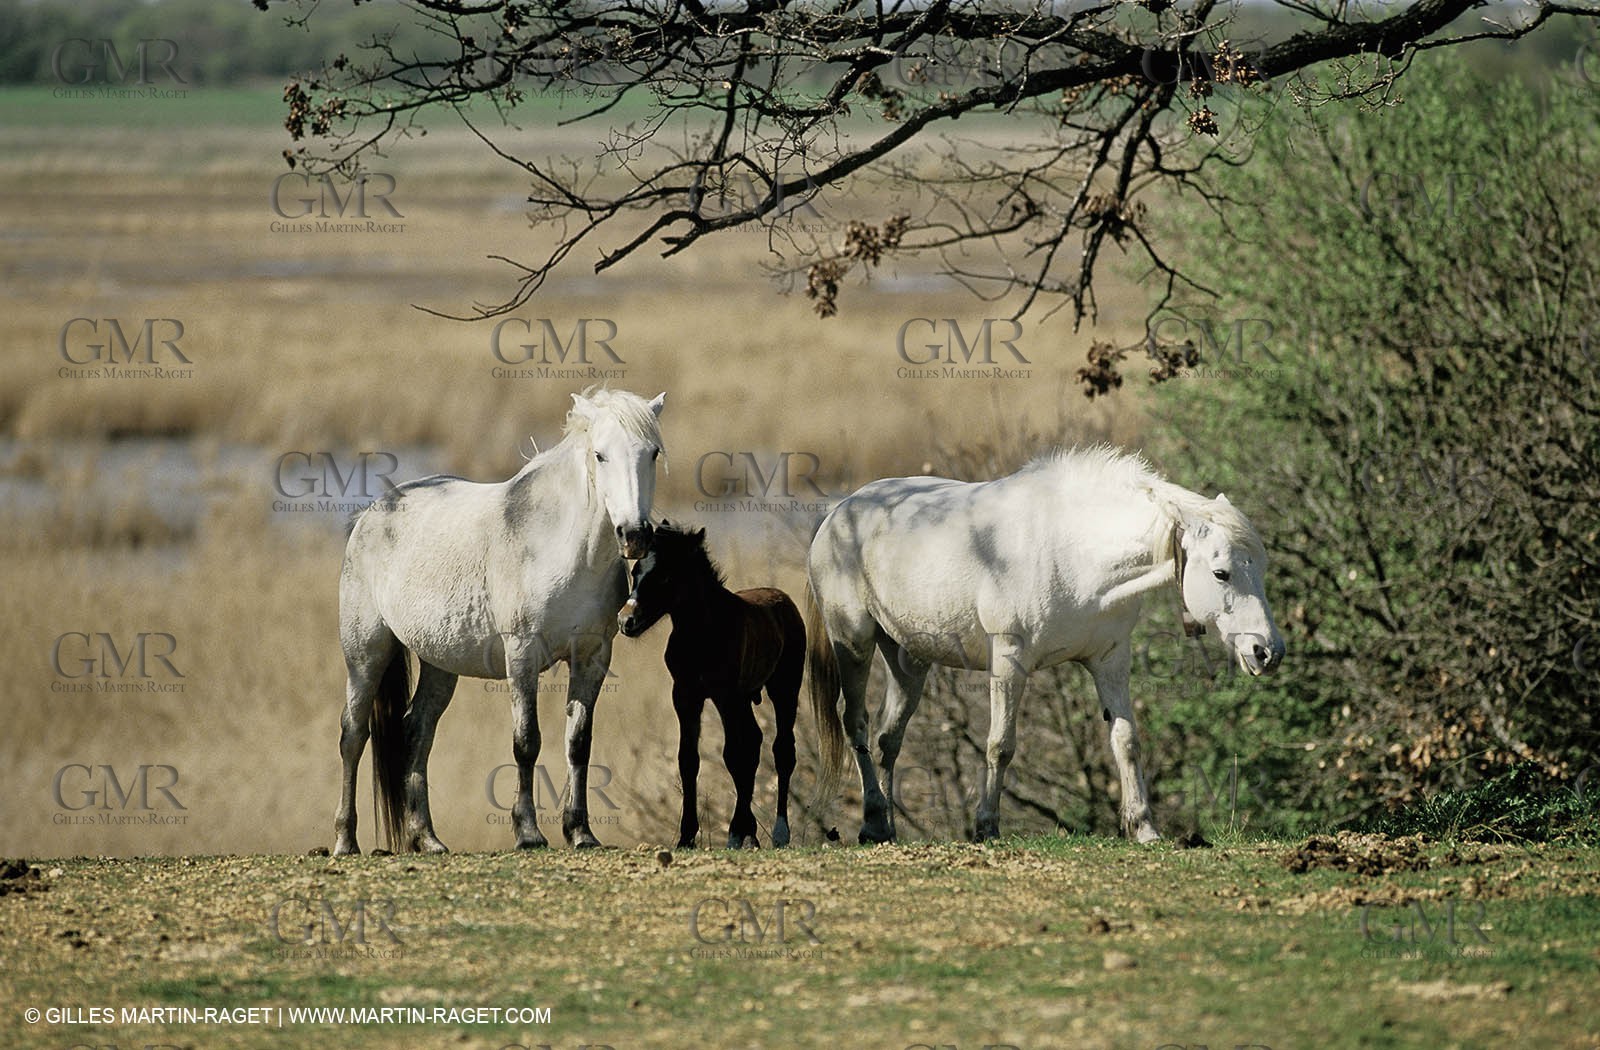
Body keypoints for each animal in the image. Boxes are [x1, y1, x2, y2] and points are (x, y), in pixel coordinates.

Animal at [333, 388, 667, 855]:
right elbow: (526, 742)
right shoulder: (522, 654)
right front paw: (528, 832)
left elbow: (578, 743)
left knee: (416, 731)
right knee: (353, 735)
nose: (634, 535)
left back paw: (427, 838)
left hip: (439, 664)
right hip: (366, 654)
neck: (561, 548)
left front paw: (580, 831)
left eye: (652, 453)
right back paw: (346, 840)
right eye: (600, 455)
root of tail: (370, 514)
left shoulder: (593, 657)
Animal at [617, 523, 804, 849]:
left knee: (781, 749)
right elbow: (688, 759)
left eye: (665, 575)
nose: (626, 621)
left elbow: (733, 755)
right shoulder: (685, 695)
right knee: (755, 741)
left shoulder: (723, 693)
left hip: (783, 689)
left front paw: (734, 833)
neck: (701, 634)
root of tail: (785, 601)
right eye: (636, 571)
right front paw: (686, 837)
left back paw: (779, 832)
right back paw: (752, 834)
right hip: (744, 699)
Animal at [804, 445, 1285, 845]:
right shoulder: (1009, 659)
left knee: (888, 737)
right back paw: (871, 821)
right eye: (1221, 573)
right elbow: (1000, 744)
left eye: (1259, 568)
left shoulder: (1111, 660)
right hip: (854, 643)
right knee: (857, 724)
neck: (1074, 549)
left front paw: (1144, 828)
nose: (1267, 651)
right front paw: (986, 827)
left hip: (908, 660)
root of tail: (838, 514)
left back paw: (884, 826)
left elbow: (1126, 740)